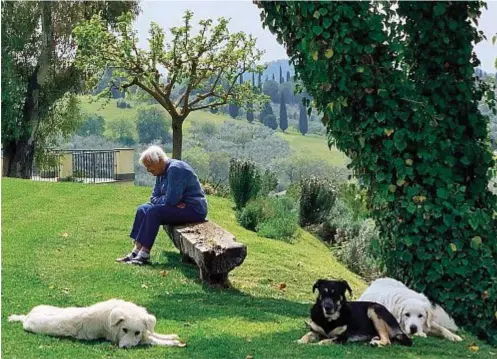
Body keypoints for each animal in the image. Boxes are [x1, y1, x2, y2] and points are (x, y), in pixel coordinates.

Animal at [7, 300, 186, 350]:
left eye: (136, 332)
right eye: (124, 329)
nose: (125, 348)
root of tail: (26, 318)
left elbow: (153, 333)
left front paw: (171, 336)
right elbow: (153, 340)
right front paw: (174, 343)